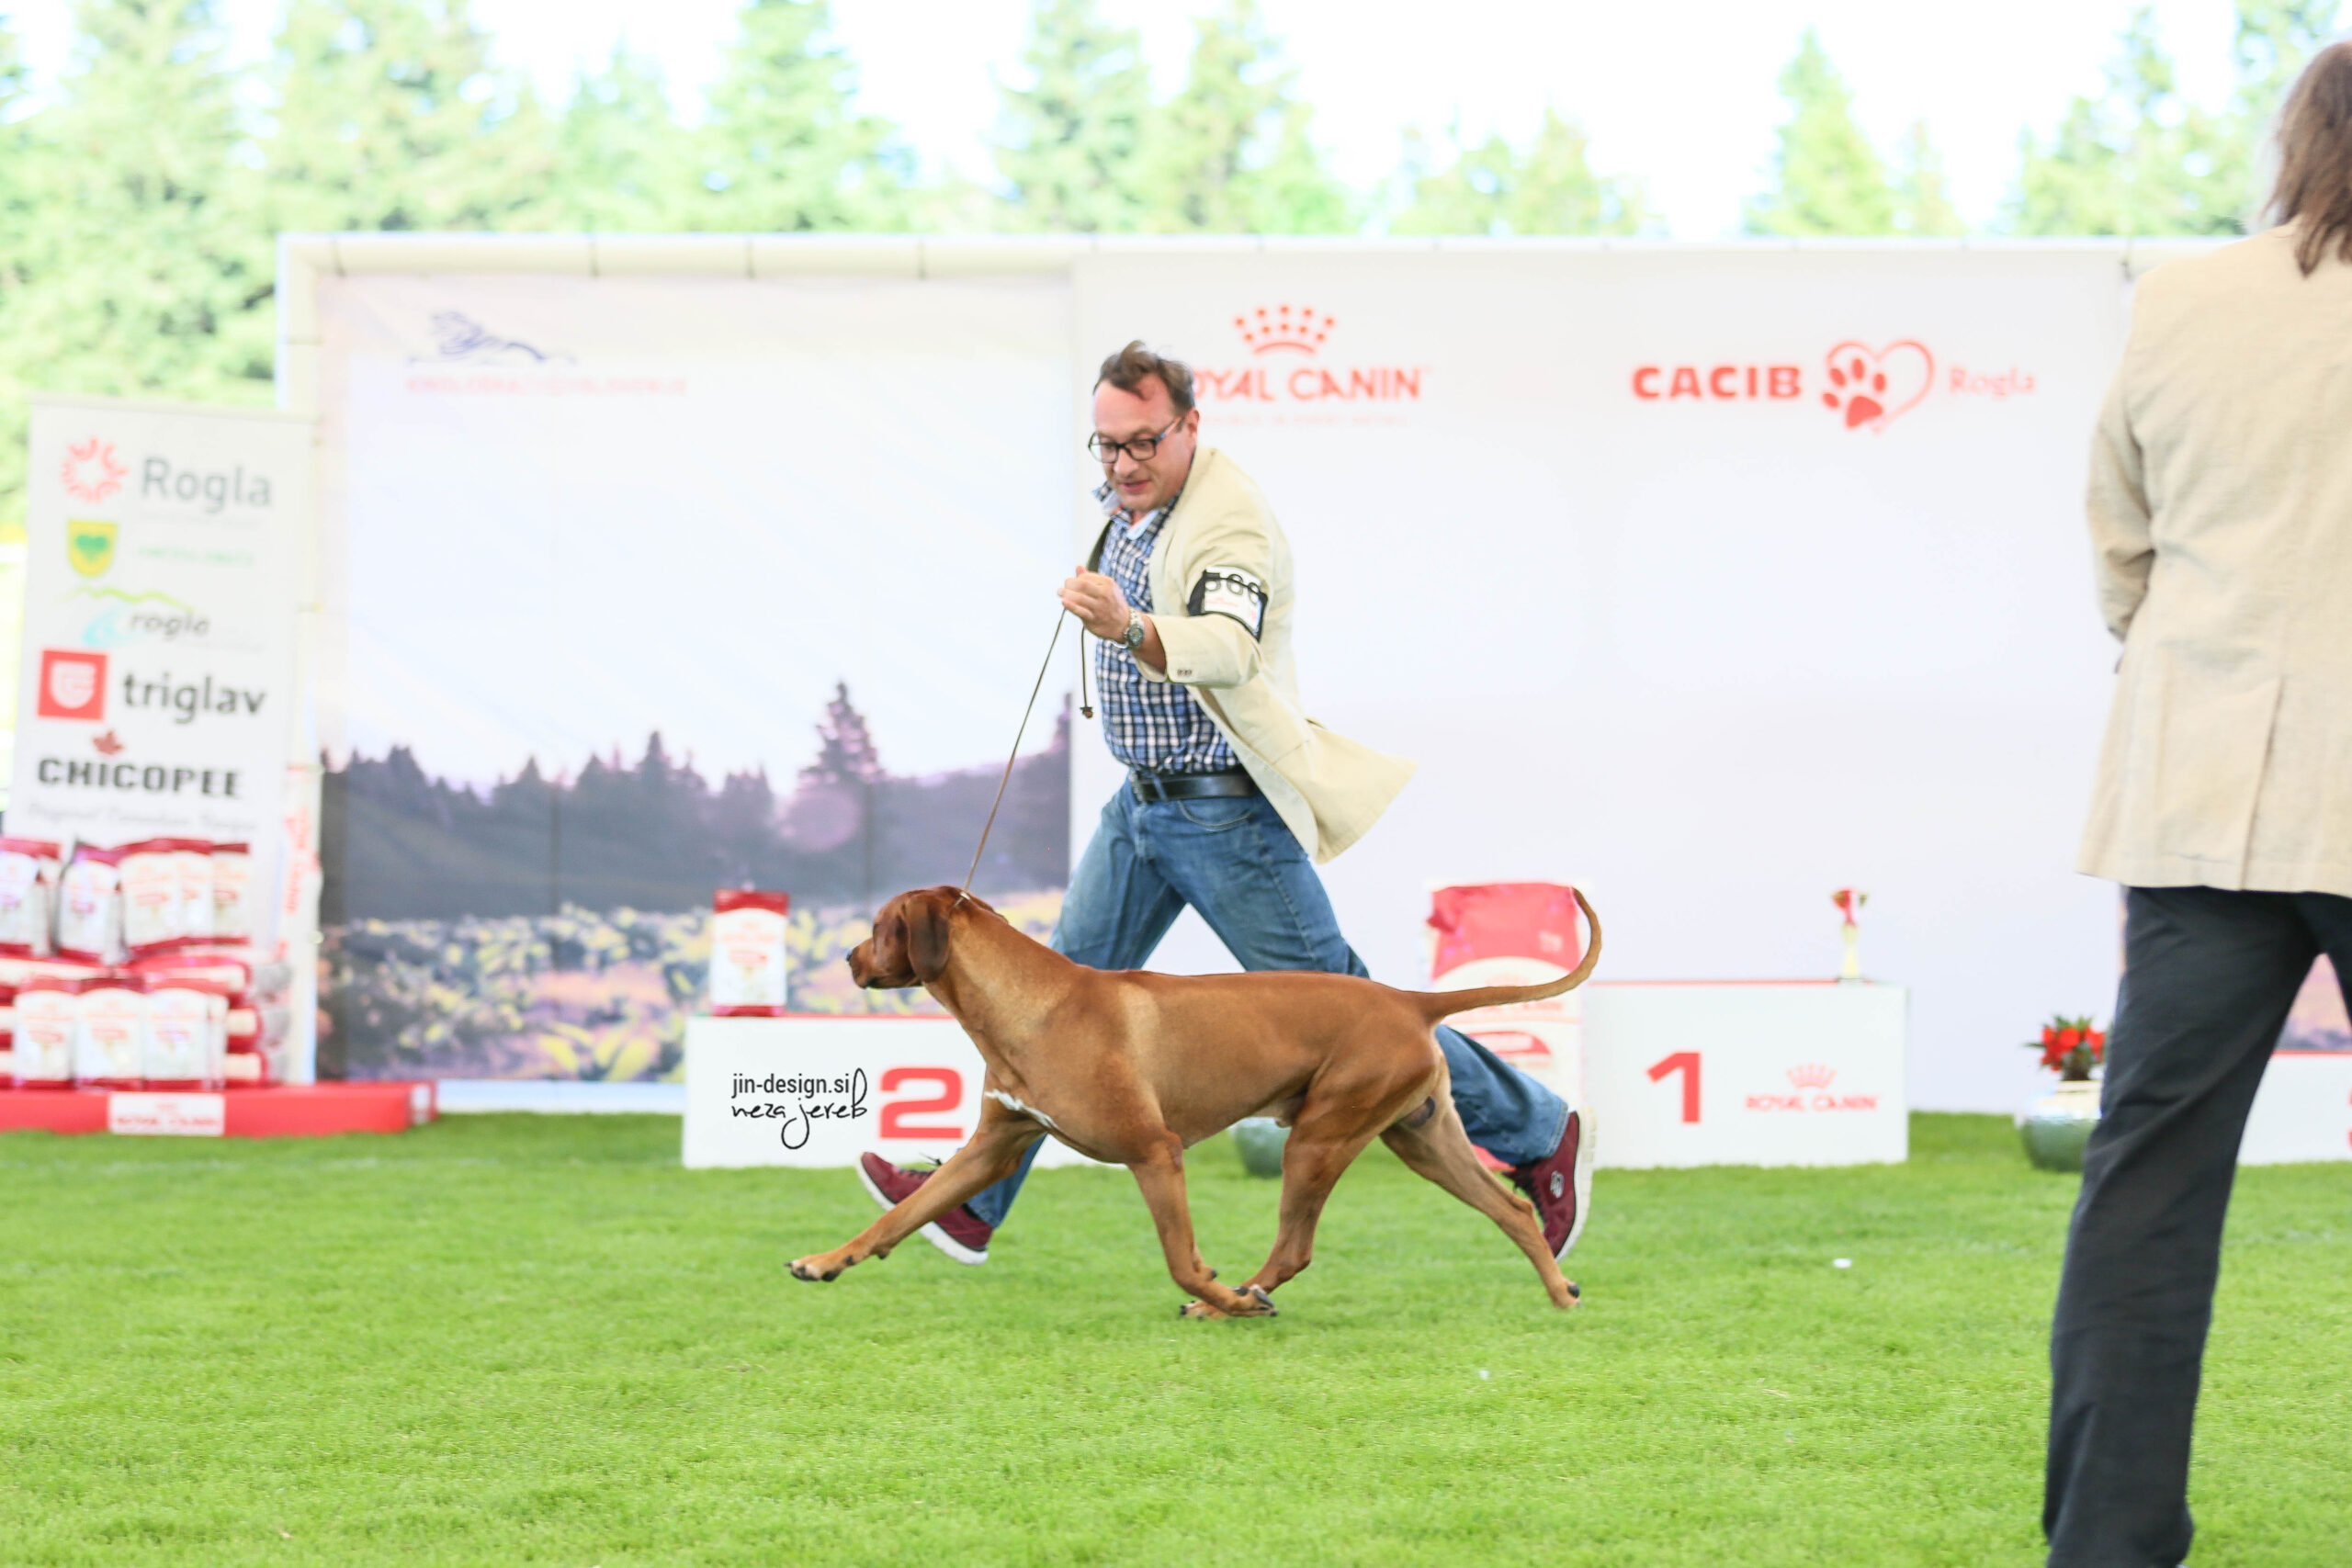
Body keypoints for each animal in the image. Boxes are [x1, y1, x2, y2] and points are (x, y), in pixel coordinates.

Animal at [790, 888, 1599, 1316]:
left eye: (877, 928)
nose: (849, 959)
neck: (1032, 1004)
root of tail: (1409, 999)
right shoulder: (993, 1146)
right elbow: (899, 1214)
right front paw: (826, 1260)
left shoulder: (1156, 1152)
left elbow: (1181, 1259)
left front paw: (1219, 1294)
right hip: (1421, 1139)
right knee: (1512, 1209)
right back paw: (1559, 1291)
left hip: (1319, 1136)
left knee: (1294, 1247)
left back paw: (1234, 1299)